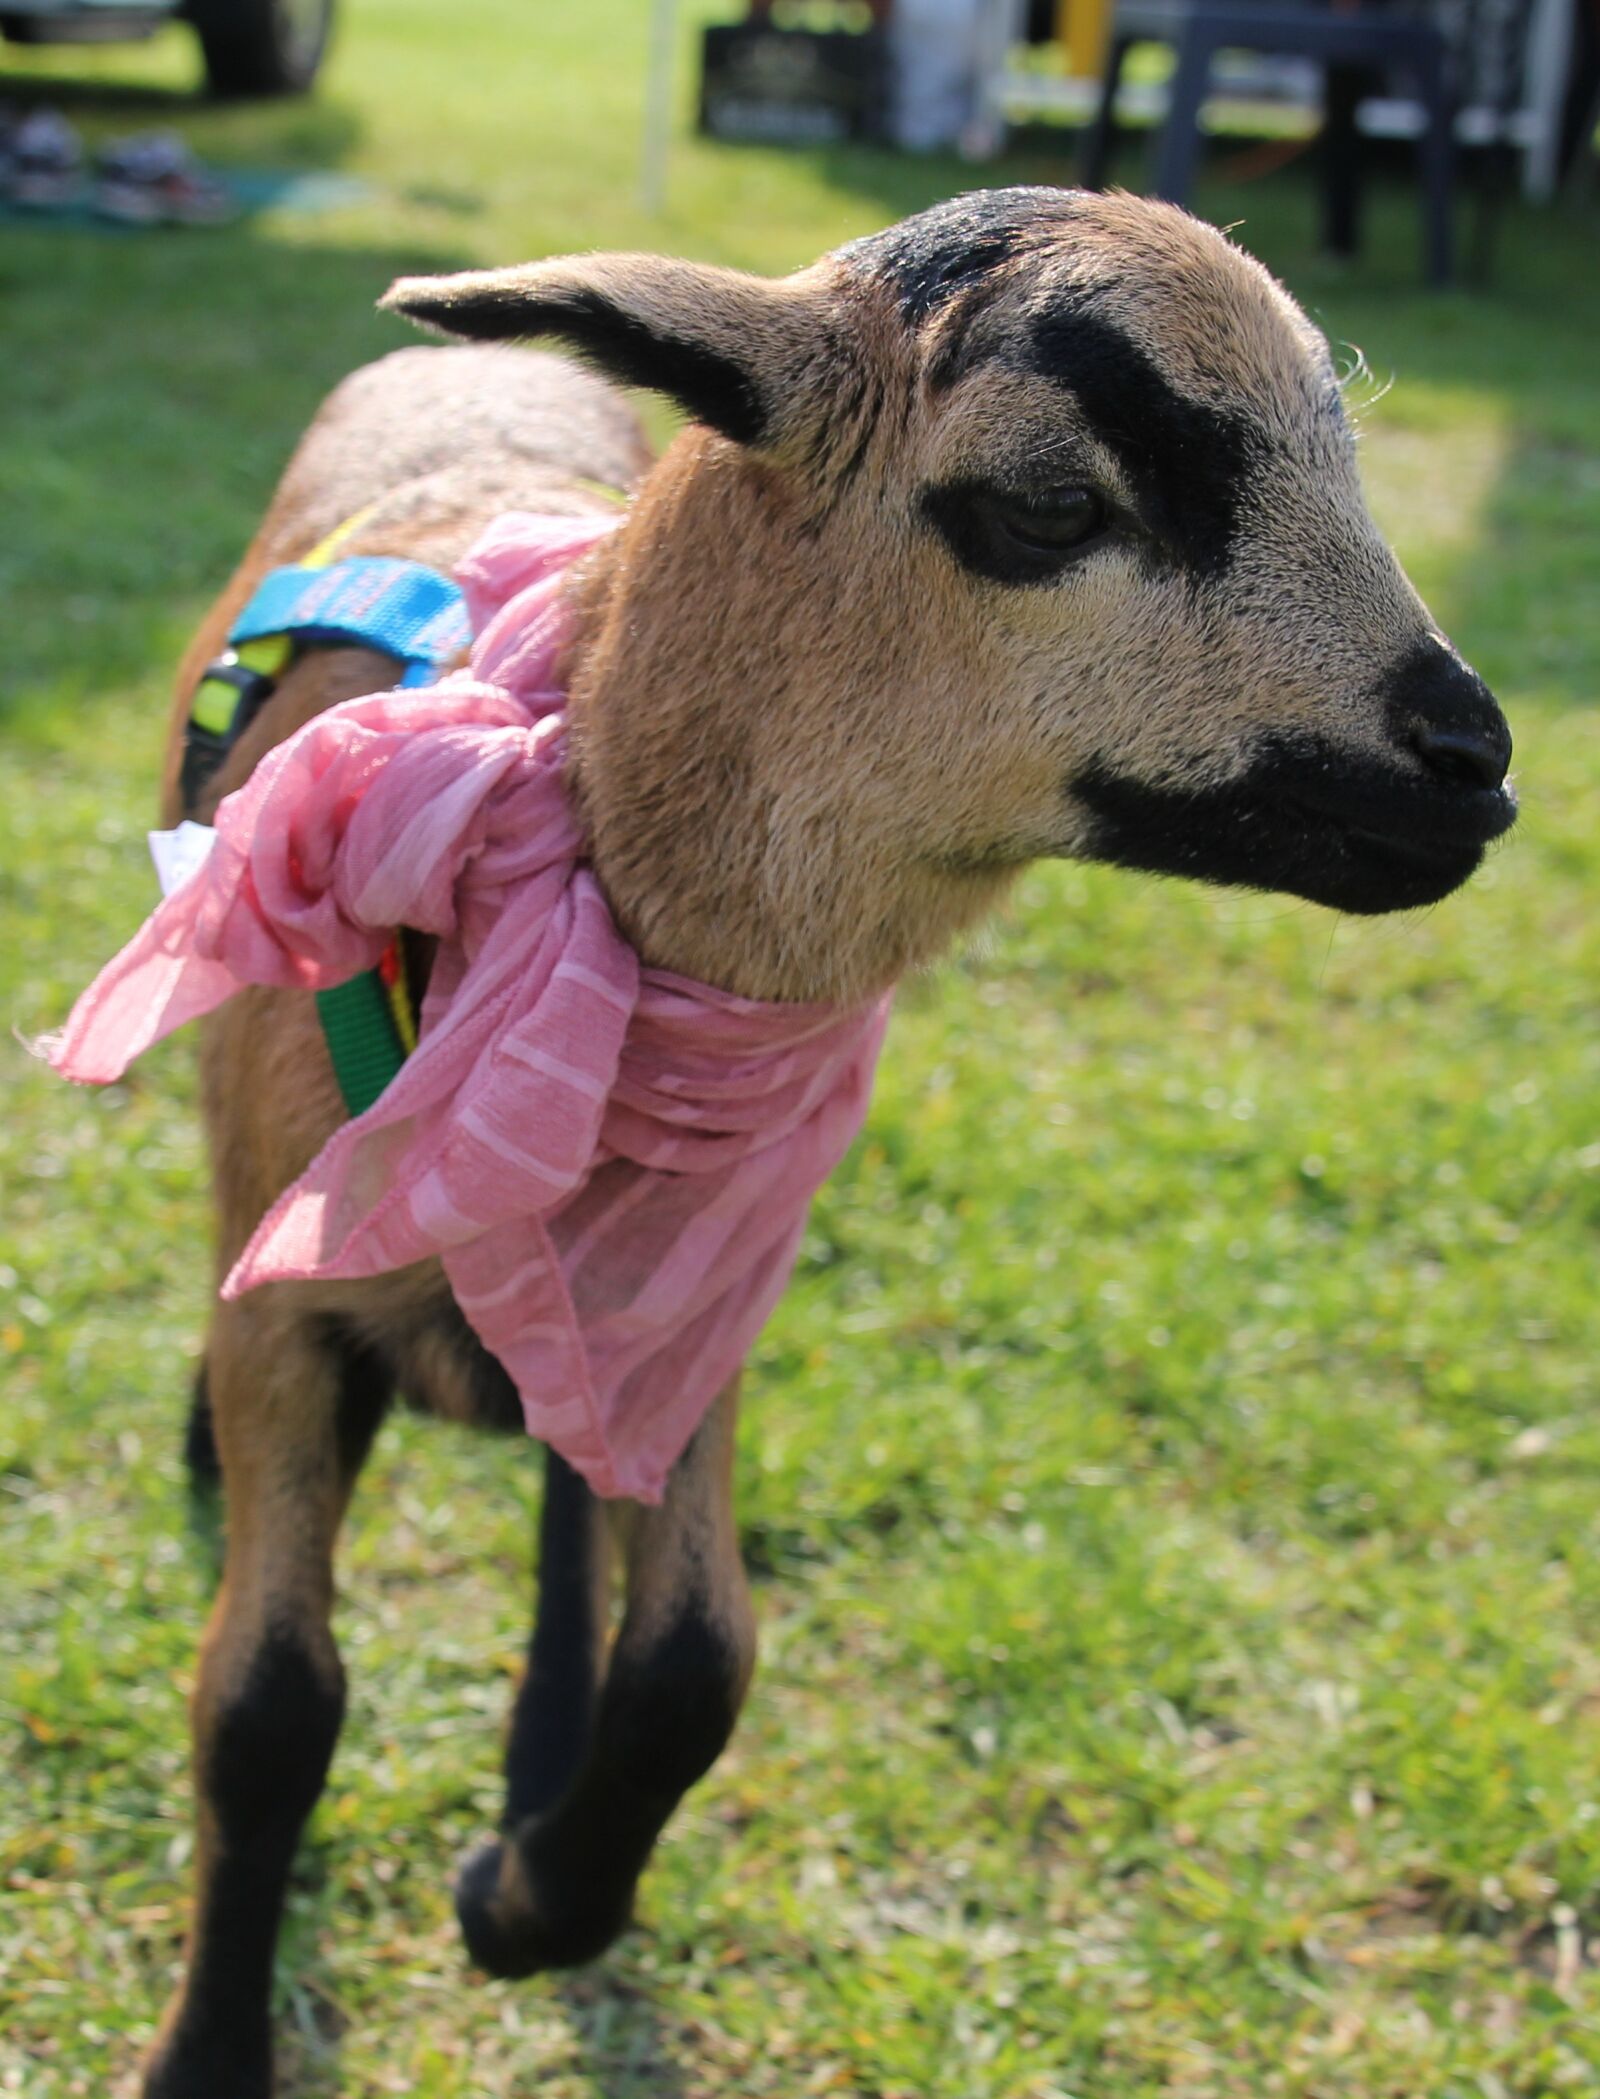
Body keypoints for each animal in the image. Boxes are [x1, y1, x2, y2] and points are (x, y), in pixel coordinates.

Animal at [93, 188, 1511, 2098]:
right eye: (1049, 504)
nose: (1473, 761)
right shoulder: (290, 1322)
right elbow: (265, 1704)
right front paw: (212, 2046)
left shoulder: (700, 1296)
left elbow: (697, 1658)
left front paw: (524, 1898)